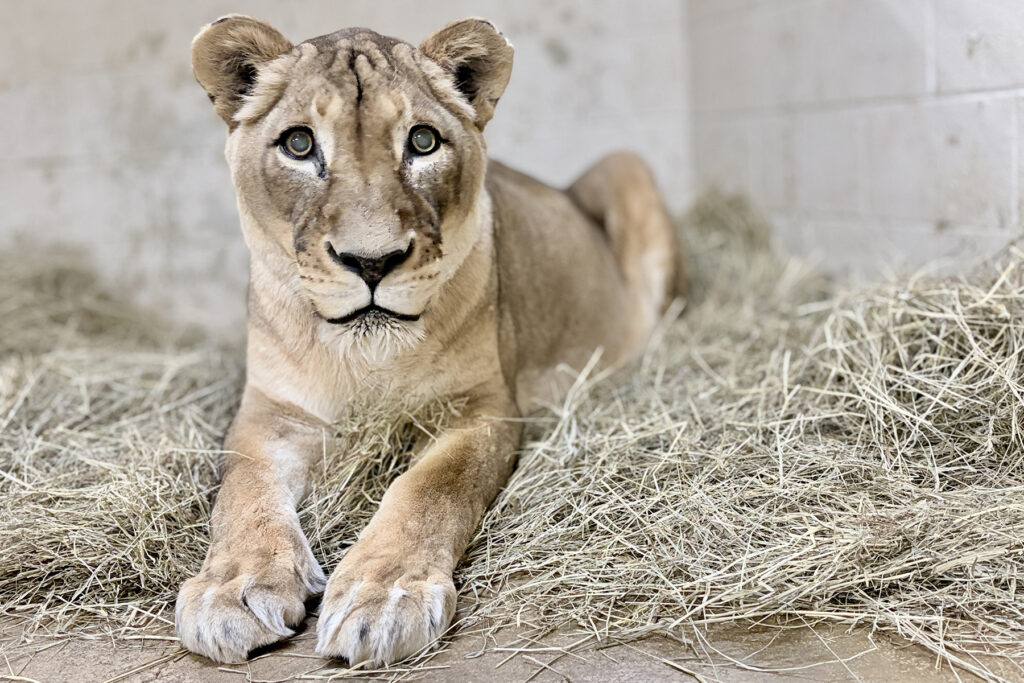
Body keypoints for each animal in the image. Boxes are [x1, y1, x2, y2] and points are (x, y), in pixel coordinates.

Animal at [176, 14, 684, 666]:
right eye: (299, 145)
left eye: (421, 142)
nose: (372, 261)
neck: (366, 355)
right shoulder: (271, 411)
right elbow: (243, 489)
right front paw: (232, 588)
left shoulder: (484, 408)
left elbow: (429, 488)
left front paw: (383, 595)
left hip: (626, 167)